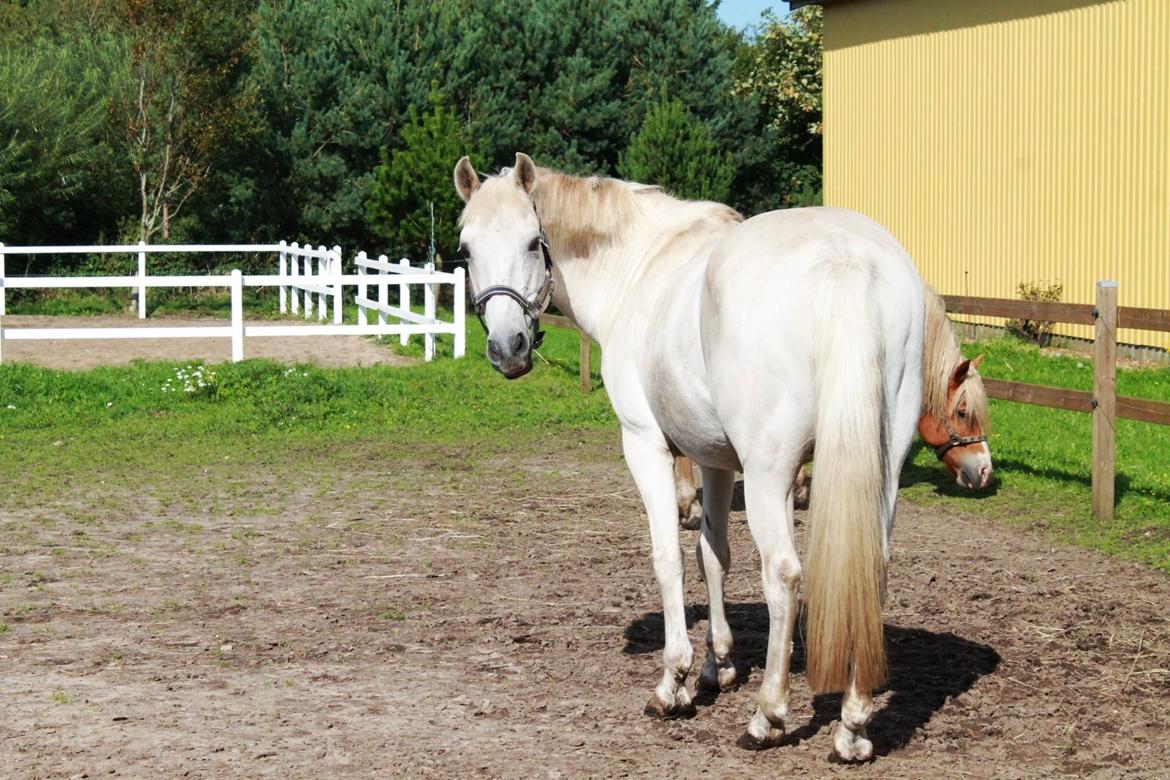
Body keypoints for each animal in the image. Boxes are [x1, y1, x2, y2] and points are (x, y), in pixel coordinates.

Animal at [453, 154, 921, 762]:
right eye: (466, 248)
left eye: (535, 241)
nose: (507, 348)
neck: (638, 269)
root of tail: (847, 259)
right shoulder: (716, 459)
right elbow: (712, 555)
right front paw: (718, 667)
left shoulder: (647, 446)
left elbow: (669, 558)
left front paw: (674, 681)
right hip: (879, 471)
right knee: (870, 572)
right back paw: (854, 726)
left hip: (770, 476)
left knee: (784, 576)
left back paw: (767, 718)